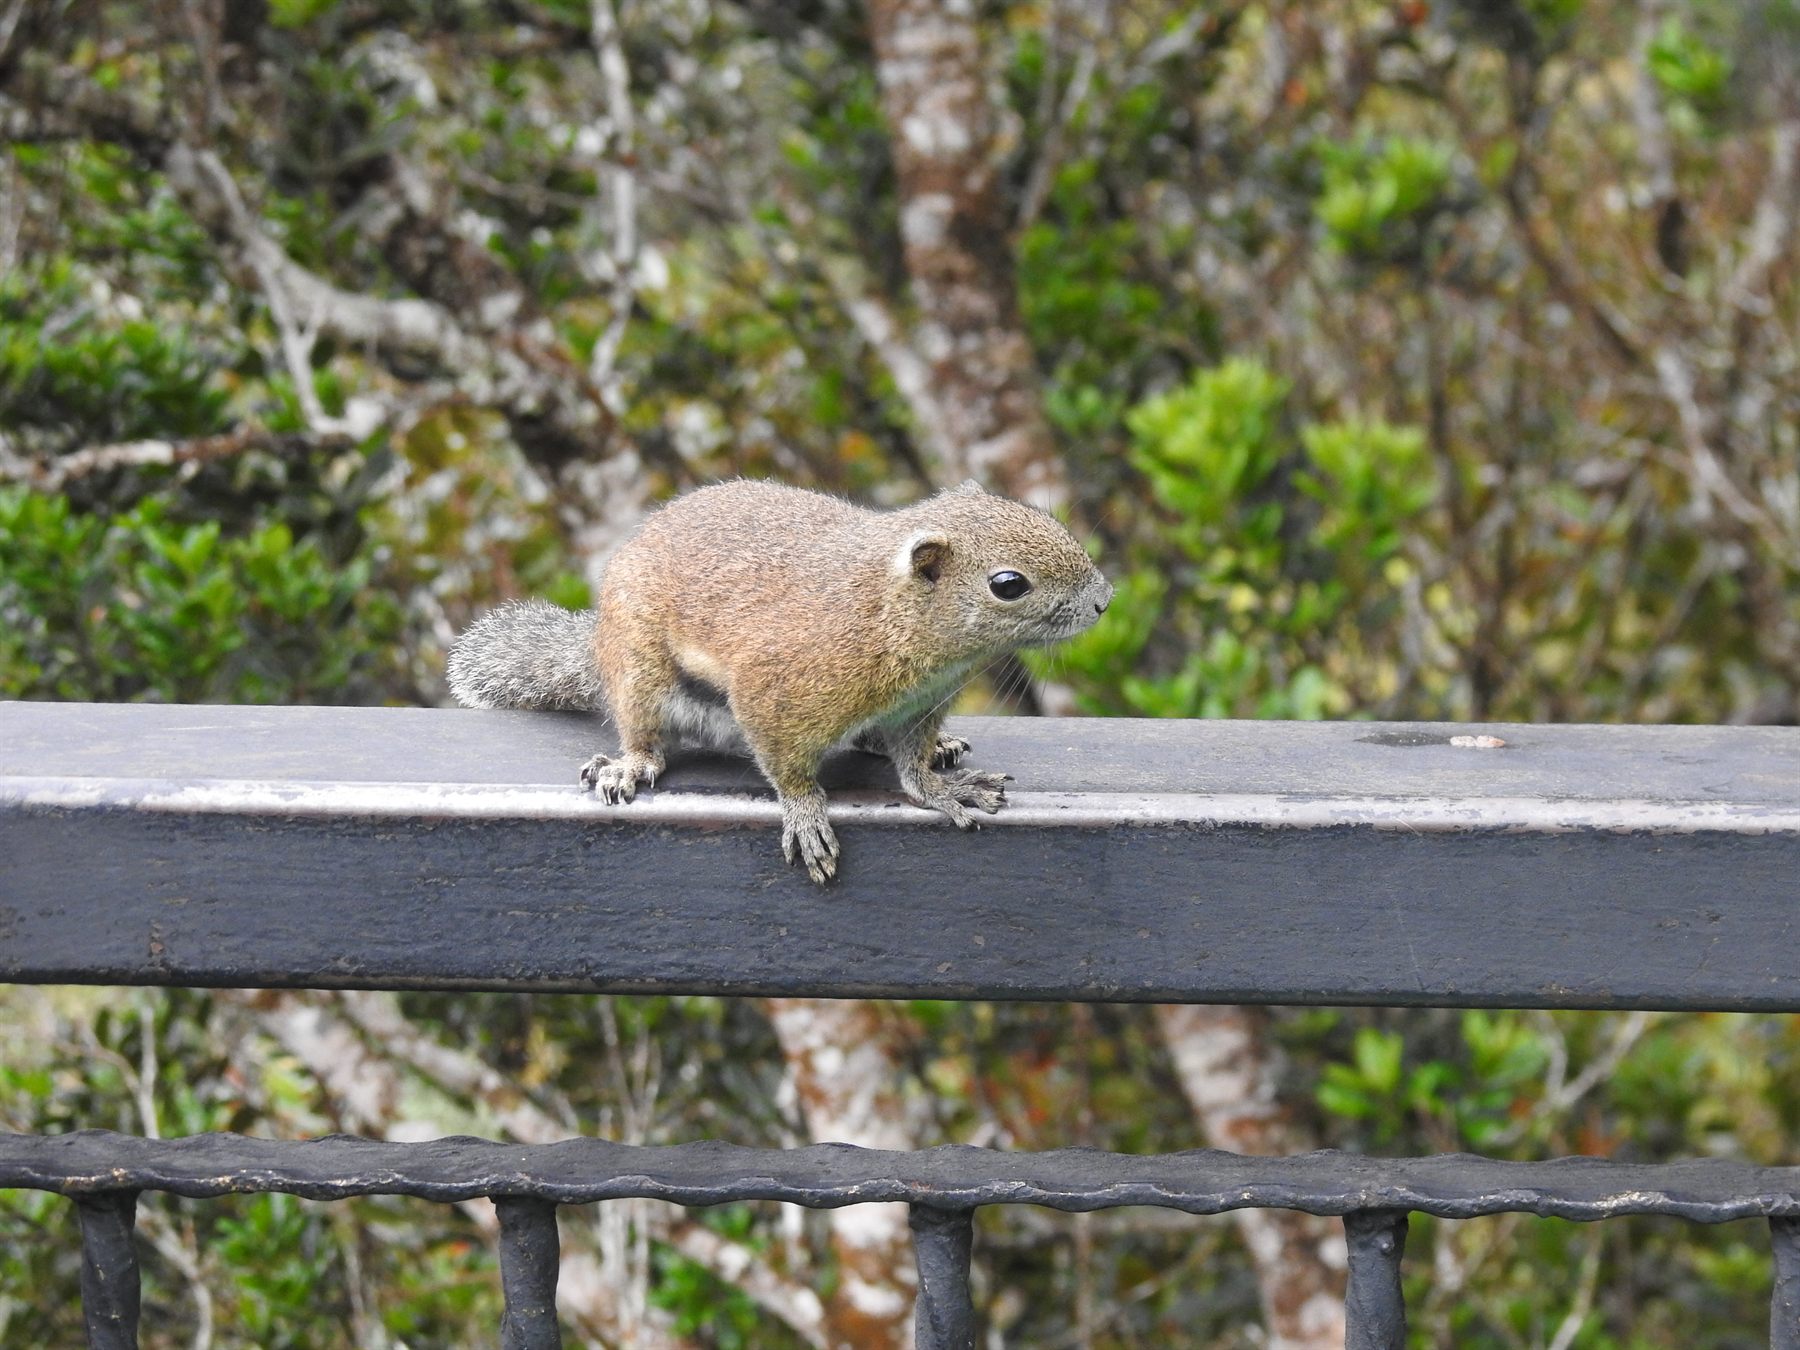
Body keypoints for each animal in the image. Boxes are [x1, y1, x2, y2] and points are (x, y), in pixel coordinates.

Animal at [446, 478, 1112, 883]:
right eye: (1008, 584)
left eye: (1041, 515)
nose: (1105, 600)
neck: (888, 613)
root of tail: (598, 642)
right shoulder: (778, 688)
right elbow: (787, 764)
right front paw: (805, 814)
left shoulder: (919, 707)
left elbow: (914, 769)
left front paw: (942, 786)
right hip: (640, 671)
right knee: (641, 729)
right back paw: (629, 764)